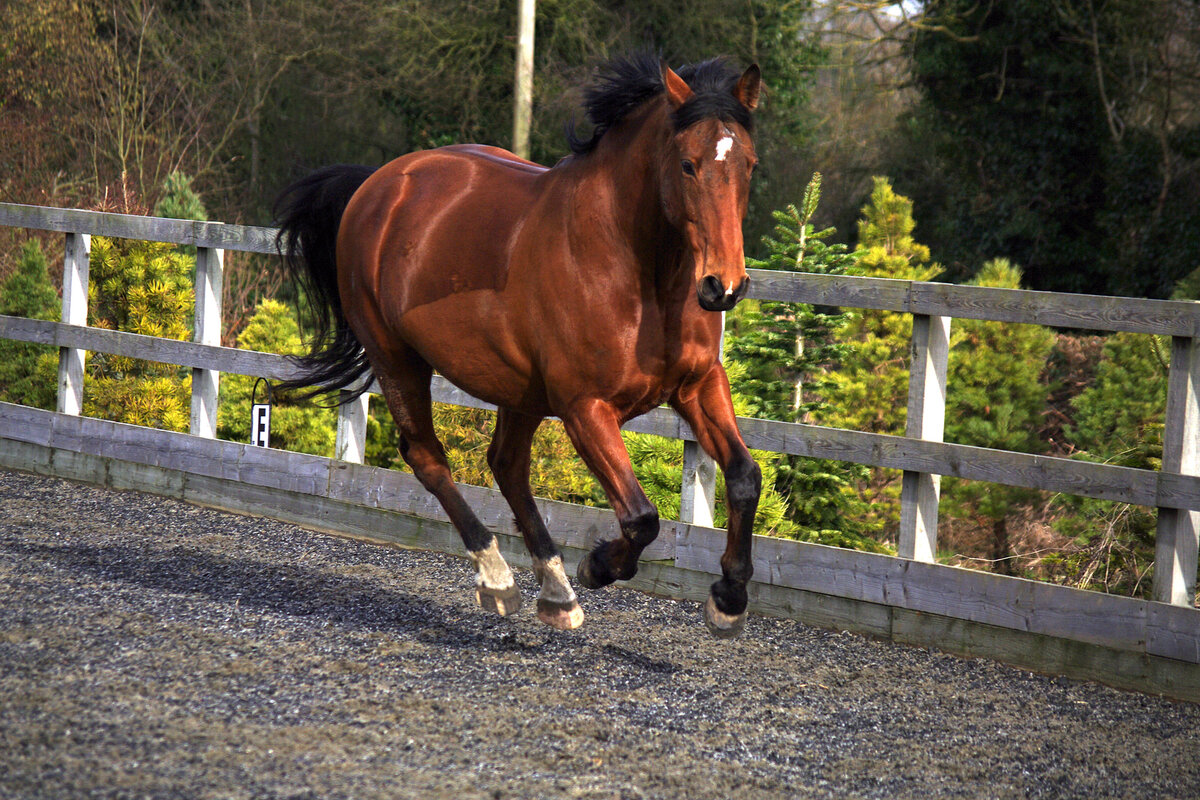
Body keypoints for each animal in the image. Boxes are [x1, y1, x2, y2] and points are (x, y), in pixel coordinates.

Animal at [276, 51, 763, 638]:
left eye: (750, 165)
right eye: (688, 164)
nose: (723, 286)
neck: (636, 269)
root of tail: (379, 183)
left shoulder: (697, 385)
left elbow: (744, 477)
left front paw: (729, 600)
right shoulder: (585, 408)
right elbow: (641, 517)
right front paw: (598, 565)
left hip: (519, 389)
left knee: (506, 464)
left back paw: (555, 593)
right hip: (397, 358)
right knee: (428, 456)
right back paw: (499, 580)